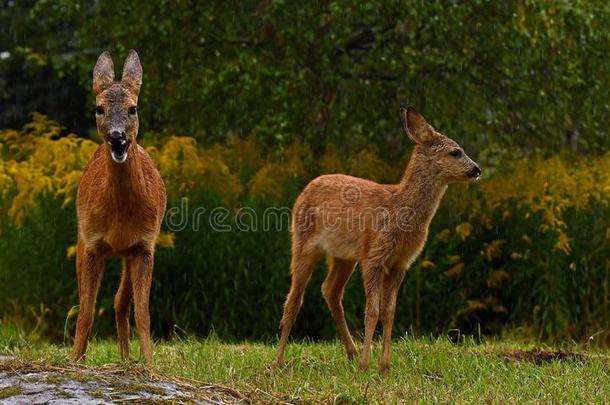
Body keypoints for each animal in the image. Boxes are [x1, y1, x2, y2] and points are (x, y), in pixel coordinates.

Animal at [71, 49, 166, 362]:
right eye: (99, 108)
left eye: (133, 108)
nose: (116, 137)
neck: (120, 216)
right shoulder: (91, 243)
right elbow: (86, 312)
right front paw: (74, 360)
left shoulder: (145, 245)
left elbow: (143, 313)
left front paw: (149, 363)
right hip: (81, 239)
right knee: (93, 303)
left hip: (129, 253)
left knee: (119, 302)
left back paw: (127, 359)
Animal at [274, 106, 480, 372]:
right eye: (455, 152)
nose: (477, 169)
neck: (399, 210)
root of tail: (305, 188)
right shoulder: (374, 256)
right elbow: (371, 310)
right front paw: (365, 364)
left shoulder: (400, 263)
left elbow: (389, 312)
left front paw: (384, 367)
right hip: (303, 243)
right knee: (294, 298)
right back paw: (278, 361)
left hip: (345, 257)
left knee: (330, 290)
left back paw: (350, 352)